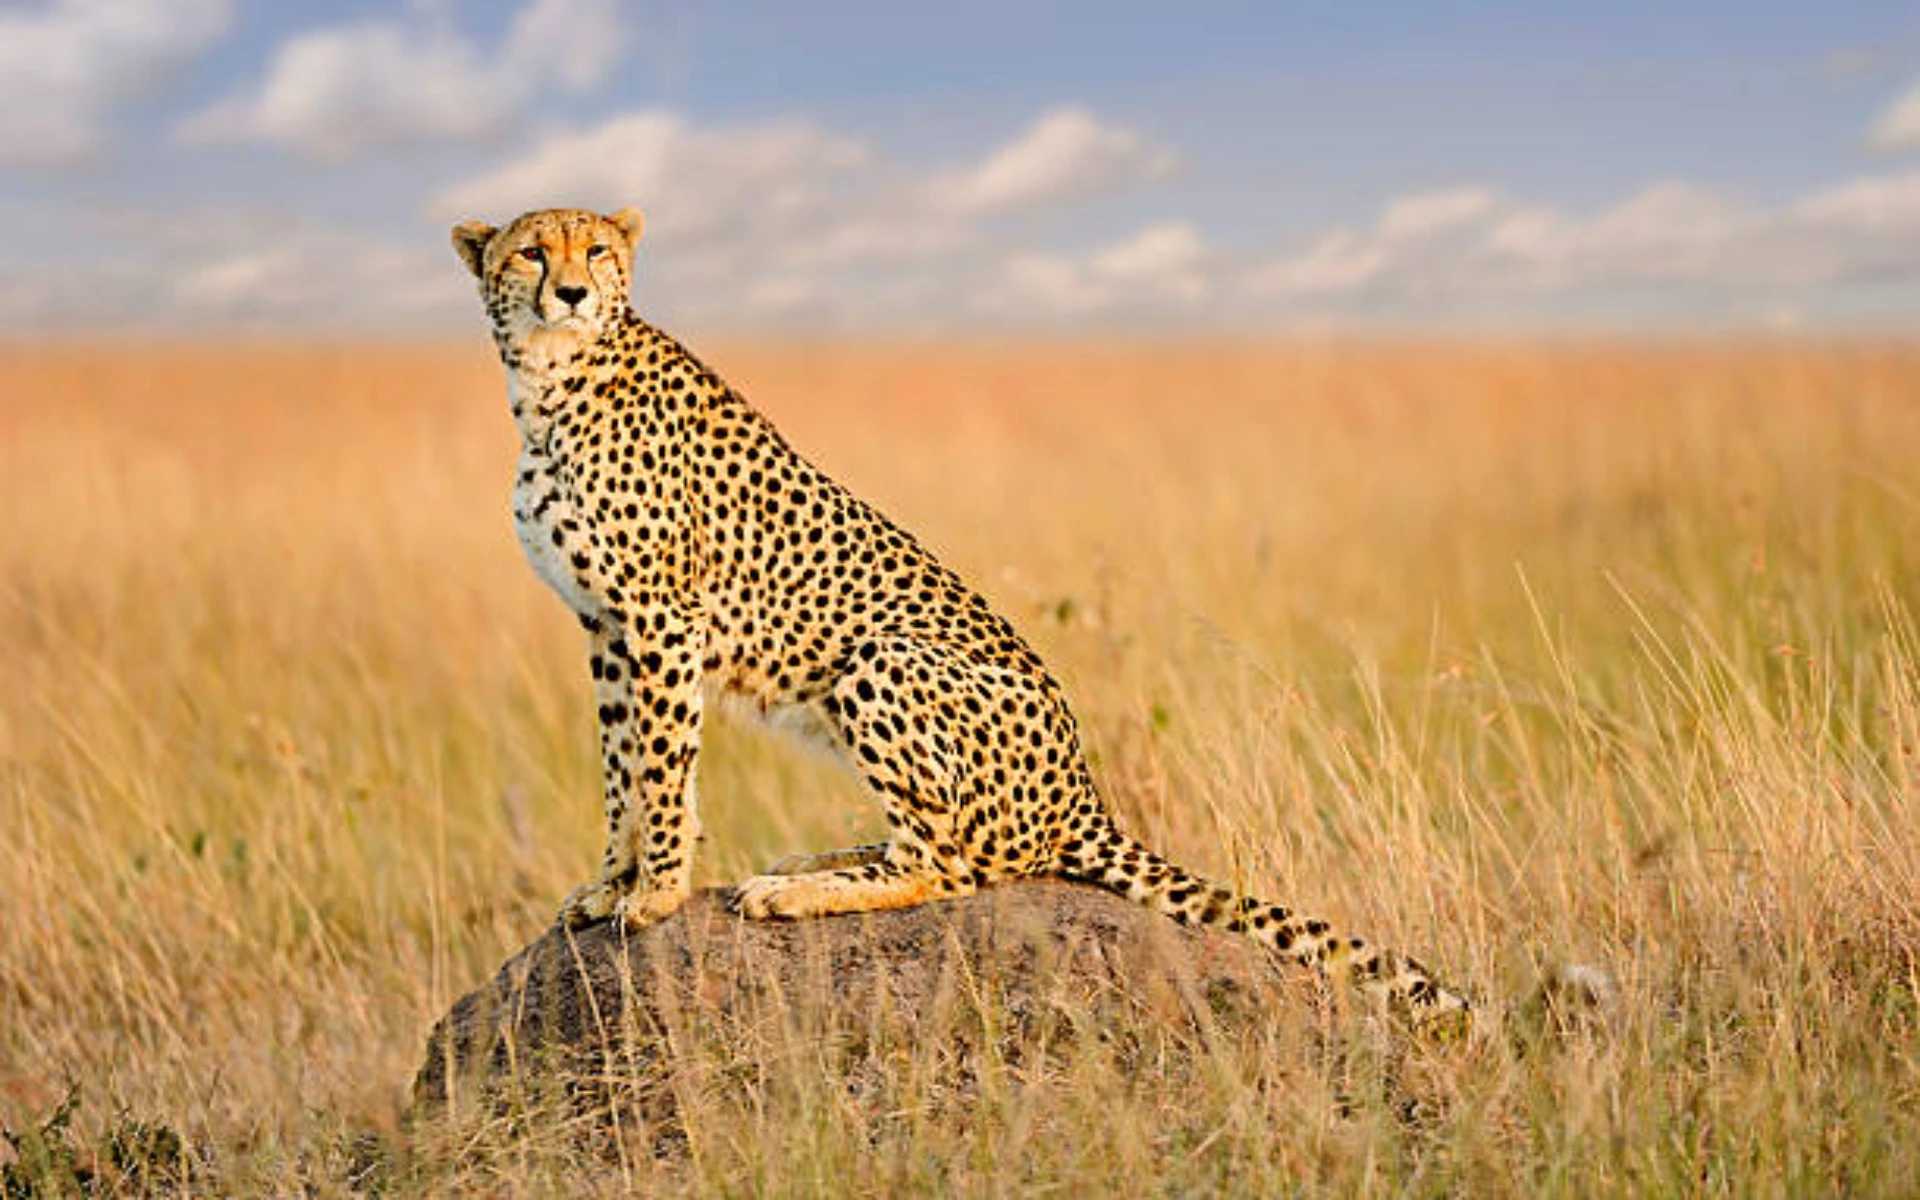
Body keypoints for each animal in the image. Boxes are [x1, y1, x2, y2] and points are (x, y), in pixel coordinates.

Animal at [451, 205, 1472, 1026]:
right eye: (531, 251)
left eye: (594, 250)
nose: (572, 291)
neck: (550, 383)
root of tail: (1084, 794)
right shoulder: (606, 627)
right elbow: (623, 768)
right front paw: (607, 885)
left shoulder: (661, 618)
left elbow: (661, 771)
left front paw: (658, 895)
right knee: (930, 839)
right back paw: (814, 861)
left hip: (881, 658)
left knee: (952, 864)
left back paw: (798, 894)